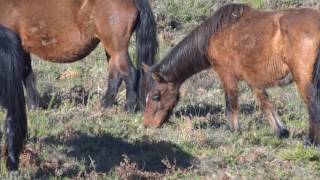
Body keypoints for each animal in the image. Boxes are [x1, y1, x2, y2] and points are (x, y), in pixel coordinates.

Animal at [0, 0, 158, 112]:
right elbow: (27, 76)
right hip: (111, 49)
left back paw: (128, 109)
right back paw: (104, 107)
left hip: (117, 48)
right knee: (115, 77)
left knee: (130, 74)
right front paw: (34, 106)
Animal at [143, 3, 320, 146]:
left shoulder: (227, 75)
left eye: (155, 96)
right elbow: (265, 104)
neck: (214, 34)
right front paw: (280, 131)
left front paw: (233, 130)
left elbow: (231, 103)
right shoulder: (252, 80)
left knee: (312, 105)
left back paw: (310, 141)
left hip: (303, 80)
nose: (147, 125)